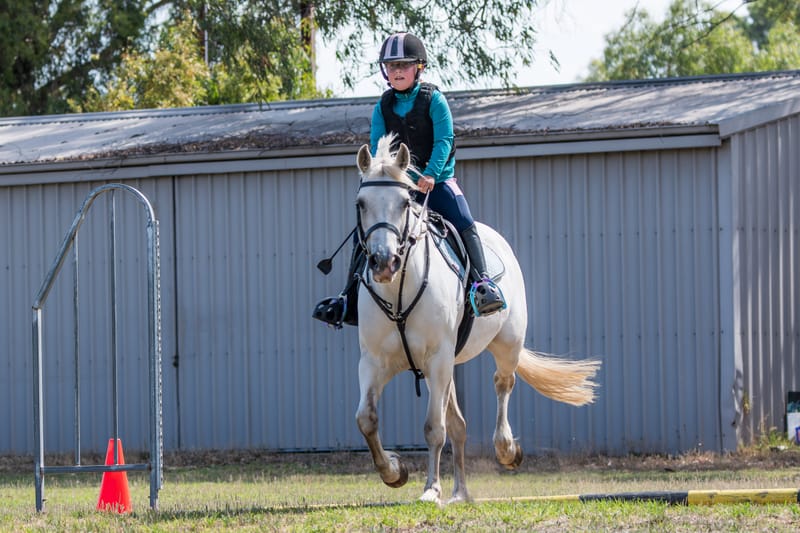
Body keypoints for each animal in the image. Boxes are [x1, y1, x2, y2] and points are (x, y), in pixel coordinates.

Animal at [353, 134, 600, 504]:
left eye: (404, 203)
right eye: (361, 203)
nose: (384, 263)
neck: (399, 290)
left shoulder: (438, 358)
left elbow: (433, 427)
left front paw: (431, 490)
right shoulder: (375, 361)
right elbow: (367, 419)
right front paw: (395, 472)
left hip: (505, 344)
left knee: (502, 383)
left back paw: (506, 451)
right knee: (459, 425)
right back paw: (460, 493)